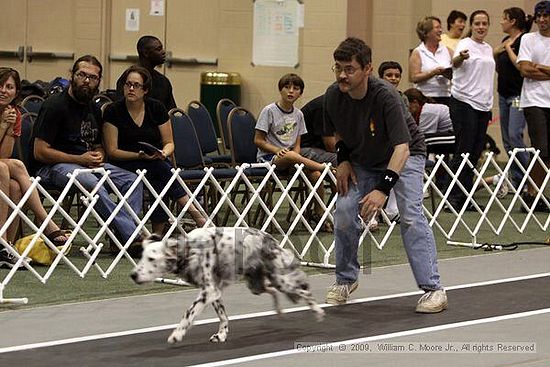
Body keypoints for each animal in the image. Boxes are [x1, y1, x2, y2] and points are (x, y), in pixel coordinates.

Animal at [131, 227, 326, 344]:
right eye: (141, 257)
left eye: (151, 259)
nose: (133, 275)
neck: (190, 250)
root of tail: (270, 239)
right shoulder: (214, 292)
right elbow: (223, 316)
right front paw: (222, 334)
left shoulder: (208, 291)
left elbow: (189, 313)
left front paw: (177, 334)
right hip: (256, 285)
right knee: (272, 290)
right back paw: (279, 310)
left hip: (280, 280)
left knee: (304, 292)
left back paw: (318, 312)